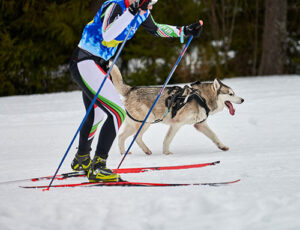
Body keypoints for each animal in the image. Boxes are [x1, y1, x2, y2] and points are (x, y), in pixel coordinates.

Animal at [109, 63, 244, 155]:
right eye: (231, 94)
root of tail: (131, 90)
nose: (242, 100)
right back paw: (146, 150)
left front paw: (222, 147)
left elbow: (214, 136)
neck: (201, 97)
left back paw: (124, 153)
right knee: (136, 137)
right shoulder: (176, 124)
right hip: (147, 121)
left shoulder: (200, 125)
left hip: (134, 124)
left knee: (121, 137)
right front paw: (166, 153)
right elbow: (167, 140)